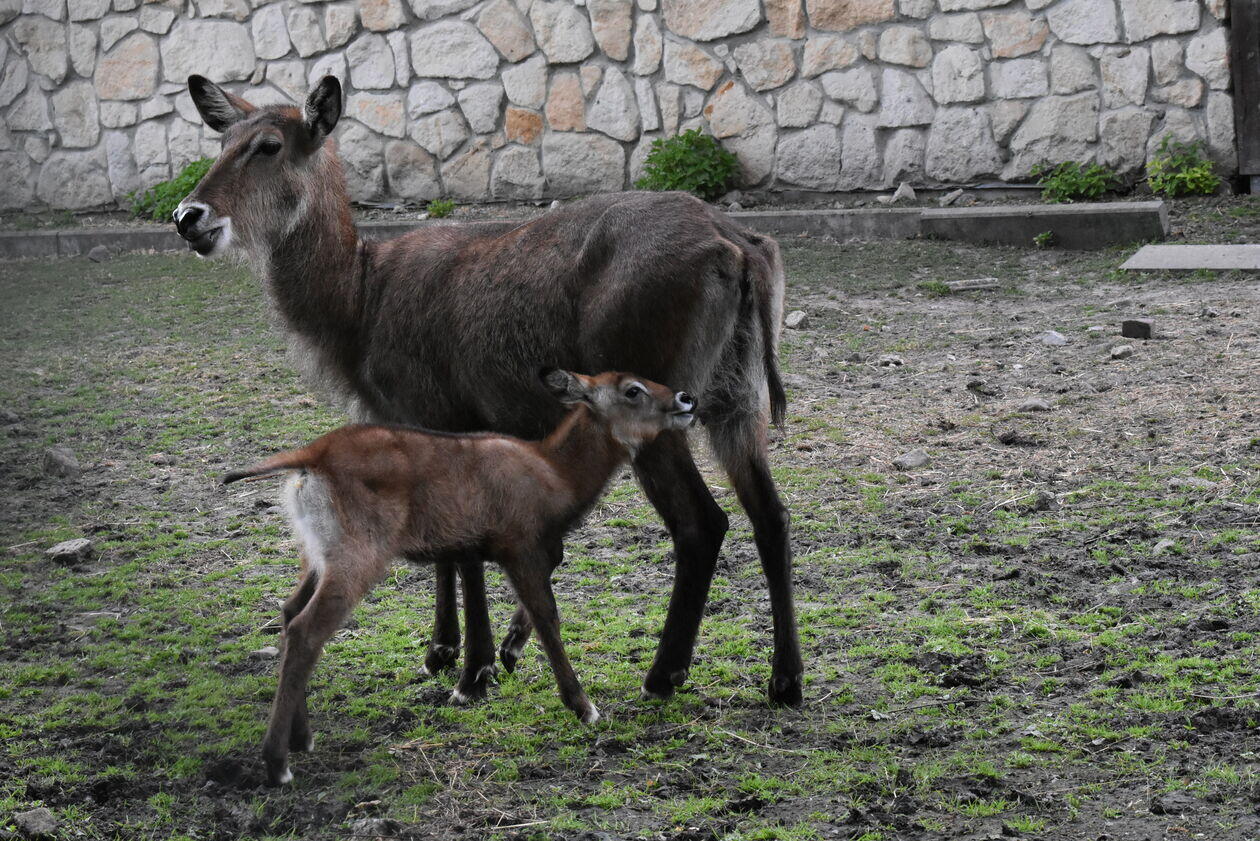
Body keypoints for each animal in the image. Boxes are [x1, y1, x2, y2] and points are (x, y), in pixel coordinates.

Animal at [176, 74, 803, 717]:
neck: (355, 309)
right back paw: (785, 679)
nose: (186, 216)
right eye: (222, 141)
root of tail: (740, 246)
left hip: (657, 405)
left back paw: (664, 673)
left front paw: (469, 667)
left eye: (269, 145)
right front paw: (447, 650)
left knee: (702, 523)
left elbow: (464, 546)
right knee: (772, 514)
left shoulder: (437, 412)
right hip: (739, 400)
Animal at [224, 369, 698, 785]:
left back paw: (301, 738)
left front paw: (495, 662)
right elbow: (548, 617)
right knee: (306, 630)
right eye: (633, 389)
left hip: (317, 558)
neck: (553, 470)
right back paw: (277, 763)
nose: (685, 399)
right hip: (356, 560)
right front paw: (583, 706)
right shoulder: (520, 551)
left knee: (289, 612)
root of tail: (312, 457)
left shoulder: (502, 552)